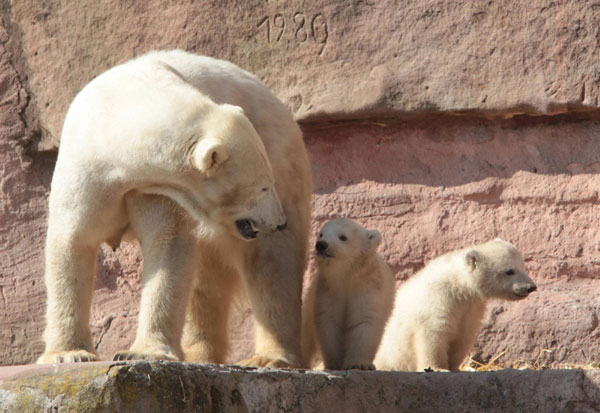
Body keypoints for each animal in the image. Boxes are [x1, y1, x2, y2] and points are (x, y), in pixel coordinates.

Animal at [37, 50, 312, 368]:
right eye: (263, 187)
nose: (279, 221)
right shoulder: (88, 168)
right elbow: (73, 241)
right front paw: (67, 354)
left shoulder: (158, 190)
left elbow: (167, 246)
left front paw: (143, 351)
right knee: (205, 281)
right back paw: (198, 355)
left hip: (282, 153)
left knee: (272, 266)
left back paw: (268, 358)